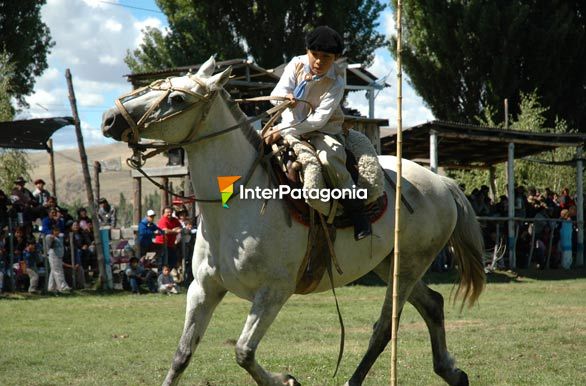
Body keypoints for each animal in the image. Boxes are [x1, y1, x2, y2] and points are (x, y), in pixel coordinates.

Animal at [101, 57, 484, 386]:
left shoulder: (273, 292)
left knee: (384, 327)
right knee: (432, 304)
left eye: (177, 98)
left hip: (406, 267)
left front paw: (286, 379)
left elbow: (243, 352)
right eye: (155, 85)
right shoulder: (203, 289)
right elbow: (182, 354)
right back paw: (453, 373)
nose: (109, 118)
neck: (235, 208)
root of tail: (442, 183)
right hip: (389, 264)